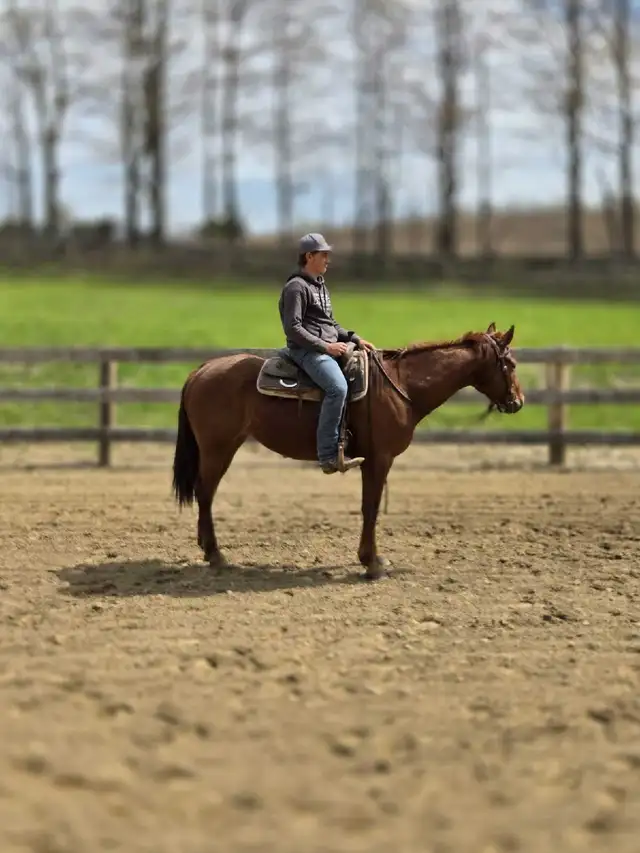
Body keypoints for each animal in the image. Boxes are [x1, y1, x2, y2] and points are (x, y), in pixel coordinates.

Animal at [172, 323, 524, 580]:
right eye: (509, 363)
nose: (518, 402)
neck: (402, 386)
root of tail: (201, 370)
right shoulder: (379, 460)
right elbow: (370, 508)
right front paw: (372, 563)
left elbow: (370, 507)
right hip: (218, 448)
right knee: (206, 493)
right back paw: (216, 555)